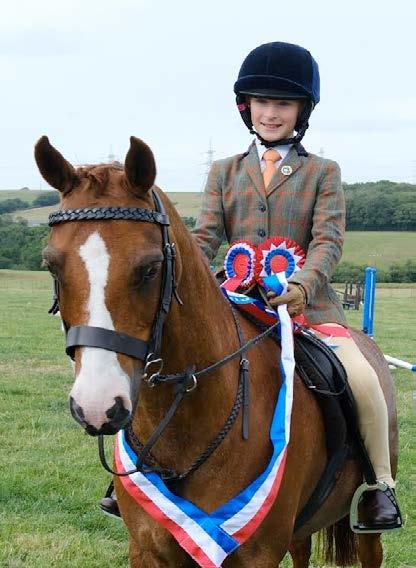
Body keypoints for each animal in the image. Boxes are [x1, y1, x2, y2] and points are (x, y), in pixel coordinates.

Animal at [35, 135, 399, 567]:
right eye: (52, 265)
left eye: (150, 268)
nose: (96, 406)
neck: (183, 430)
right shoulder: (146, 549)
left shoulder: (257, 554)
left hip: (366, 525)